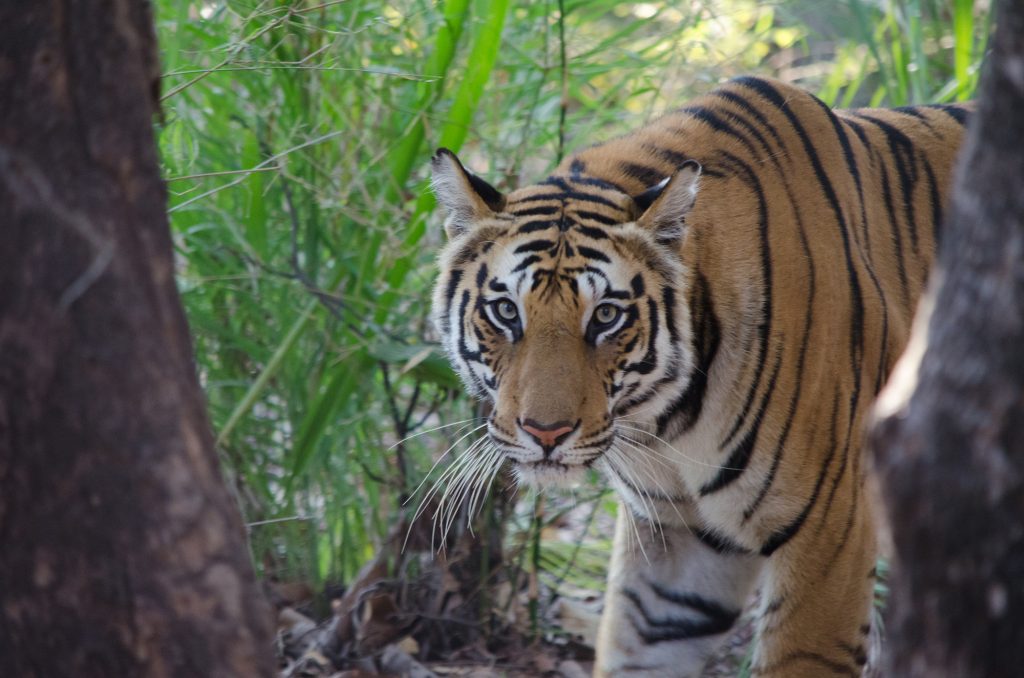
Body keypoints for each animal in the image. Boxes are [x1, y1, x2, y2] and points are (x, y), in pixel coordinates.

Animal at [428, 76, 970, 675]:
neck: (665, 423)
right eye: (506, 312)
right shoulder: (679, 539)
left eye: (606, 317)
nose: (546, 434)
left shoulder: (833, 535)